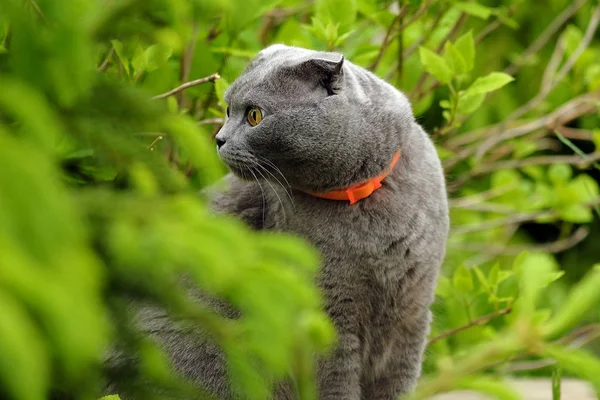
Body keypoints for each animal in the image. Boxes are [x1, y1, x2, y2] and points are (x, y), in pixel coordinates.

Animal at [110, 44, 448, 400]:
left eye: (254, 115)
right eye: (227, 109)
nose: (219, 138)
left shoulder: (412, 314)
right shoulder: (328, 316)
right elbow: (335, 384)